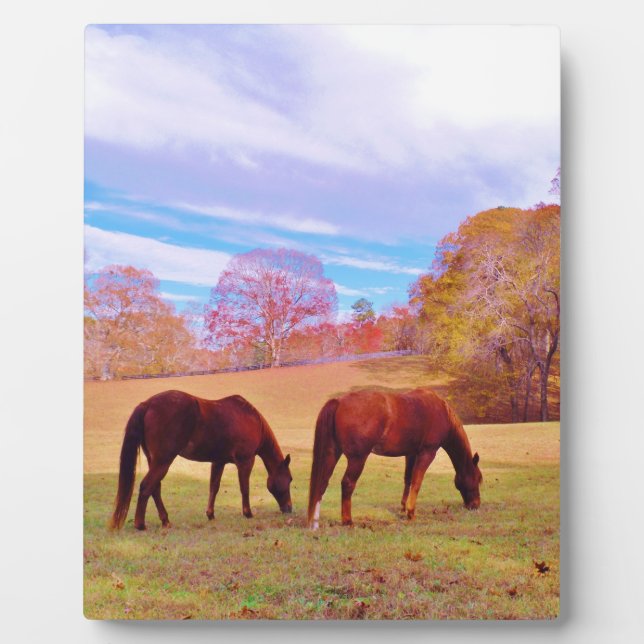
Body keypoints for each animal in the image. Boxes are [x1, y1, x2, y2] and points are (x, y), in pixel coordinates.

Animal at [108, 390, 293, 530]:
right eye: (290, 479)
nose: (289, 508)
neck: (251, 419)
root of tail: (147, 404)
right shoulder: (245, 461)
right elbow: (244, 488)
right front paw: (248, 513)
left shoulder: (218, 462)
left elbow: (214, 488)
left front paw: (210, 514)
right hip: (163, 461)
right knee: (147, 486)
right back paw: (140, 524)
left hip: (154, 461)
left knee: (155, 488)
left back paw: (165, 520)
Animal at [307, 387, 482, 529]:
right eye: (478, 479)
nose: (475, 505)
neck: (440, 410)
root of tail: (339, 401)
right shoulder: (427, 453)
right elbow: (417, 482)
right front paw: (411, 513)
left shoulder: (411, 454)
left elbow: (408, 479)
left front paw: (403, 507)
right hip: (358, 458)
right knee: (347, 484)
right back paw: (348, 521)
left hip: (332, 453)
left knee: (322, 482)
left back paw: (315, 521)